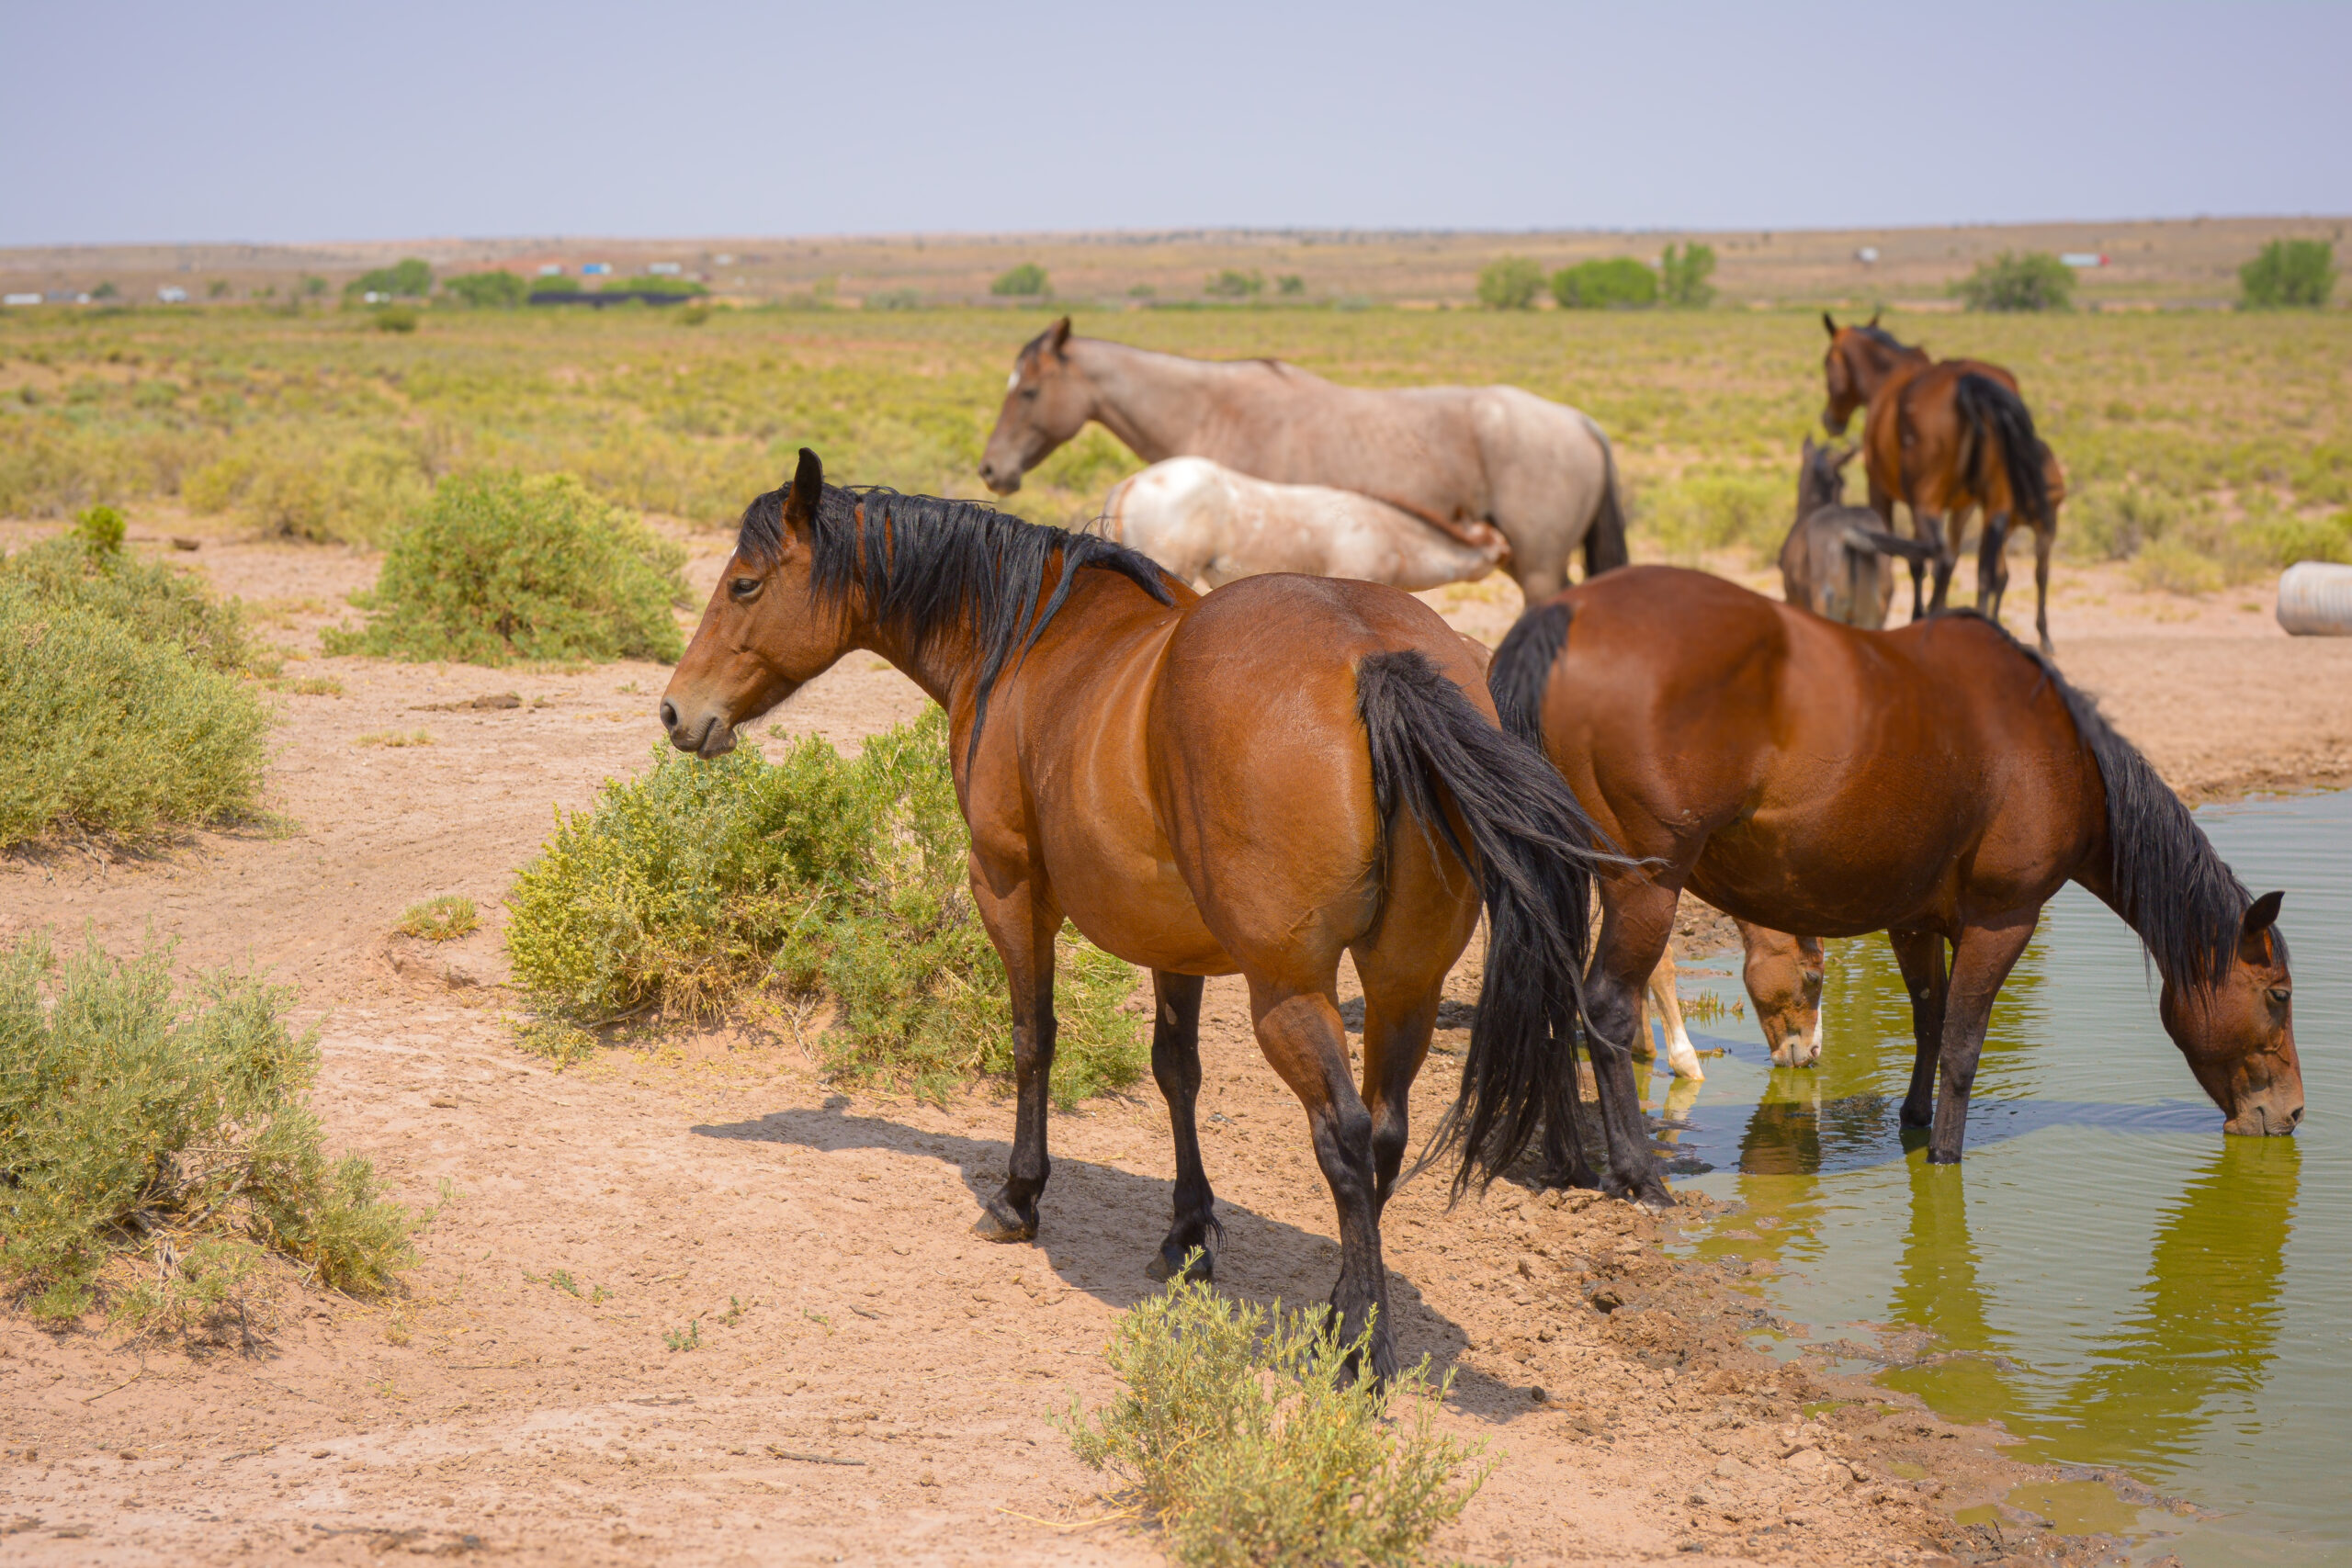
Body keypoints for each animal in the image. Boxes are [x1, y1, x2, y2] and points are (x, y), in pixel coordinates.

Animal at [1478, 565, 2302, 1170]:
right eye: (2280, 995)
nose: (2291, 1113)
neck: (2057, 751)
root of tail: (1562, 618)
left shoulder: (1914, 921)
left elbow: (1930, 1024)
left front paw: (1913, 1124)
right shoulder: (2003, 921)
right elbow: (1964, 1048)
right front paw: (1945, 1157)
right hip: (1644, 887)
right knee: (1607, 1008)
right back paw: (1636, 1176)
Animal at [1820, 314, 2064, 652]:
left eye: (1827, 362)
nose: (1830, 421)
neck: (1889, 377)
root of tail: (1969, 383)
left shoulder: (1881, 492)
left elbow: (1915, 562)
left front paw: (1917, 614)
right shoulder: (1963, 506)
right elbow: (1950, 561)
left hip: (1926, 502)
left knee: (1935, 552)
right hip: (1995, 509)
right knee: (1983, 569)